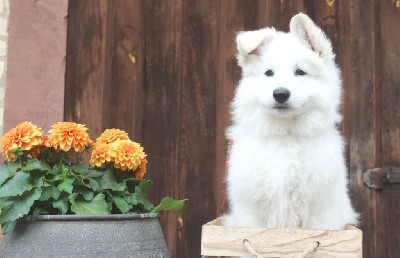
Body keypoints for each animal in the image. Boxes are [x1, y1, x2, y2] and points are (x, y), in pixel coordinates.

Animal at [223, 13, 358, 230]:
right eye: (268, 73)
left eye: (300, 72)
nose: (280, 94)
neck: (286, 136)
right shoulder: (250, 214)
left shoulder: (322, 212)